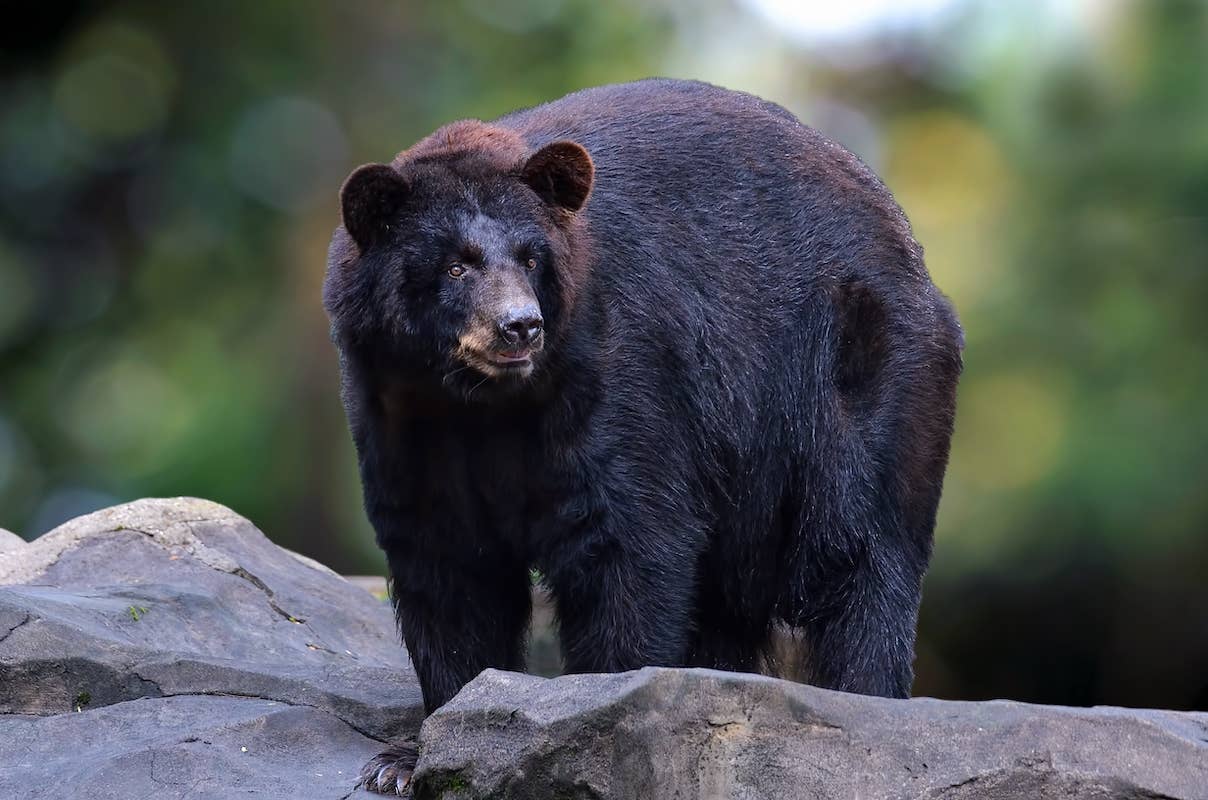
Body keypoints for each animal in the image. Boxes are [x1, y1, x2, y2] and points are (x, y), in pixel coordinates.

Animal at [323, 78, 962, 794]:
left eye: (530, 257)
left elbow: (628, 540)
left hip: (857, 380)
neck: (483, 403)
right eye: (456, 266)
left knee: (861, 553)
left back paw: (864, 705)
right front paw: (407, 759)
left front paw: (583, 727)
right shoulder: (403, 421)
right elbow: (448, 568)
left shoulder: (623, 370)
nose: (520, 326)